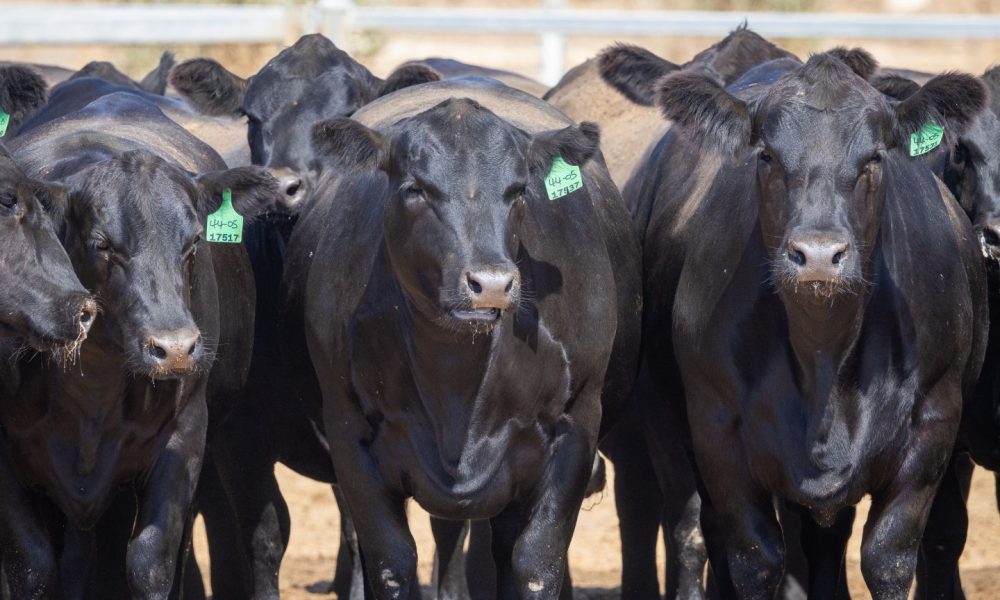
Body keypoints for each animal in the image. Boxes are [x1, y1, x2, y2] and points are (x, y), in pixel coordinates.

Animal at [0, 91, 295, 598]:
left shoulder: (185, 435)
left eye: (194, 241)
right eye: (102, 244)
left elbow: (150, 563)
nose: (175, 348)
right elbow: (31, 567)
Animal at [277, 75, 640, 599]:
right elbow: (390, 561)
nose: (491, 282)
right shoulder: (349, 435)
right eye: (415, 189)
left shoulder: (576, 427)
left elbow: (537, 564)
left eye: (518, 191)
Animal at [624, 46, 988, 599]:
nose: (818, 255)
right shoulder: (717, 431)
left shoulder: (934, 426)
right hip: (663, 417)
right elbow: (755, 560)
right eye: (767, 156)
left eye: (874, 158)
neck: (823, 358)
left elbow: (888, 559)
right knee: (690, 532)